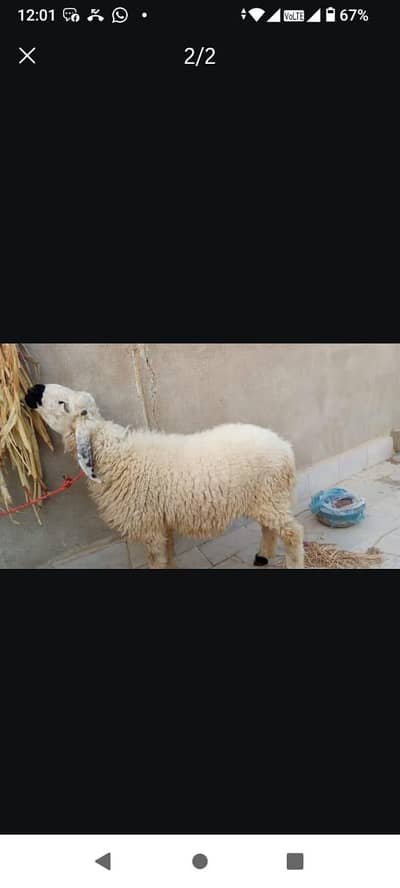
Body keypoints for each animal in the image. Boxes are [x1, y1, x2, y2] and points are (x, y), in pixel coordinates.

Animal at [25, 383, 304, 569]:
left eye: (63, 404)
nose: (34, 389)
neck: (114, 455)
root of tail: (286, 448)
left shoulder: (149, 525)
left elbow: (156, 561)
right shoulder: (161, 522)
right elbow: (167, 557)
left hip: (270, 497)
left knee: (293, 532)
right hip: (264, 499)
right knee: (269, 528)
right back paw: (262, 556)